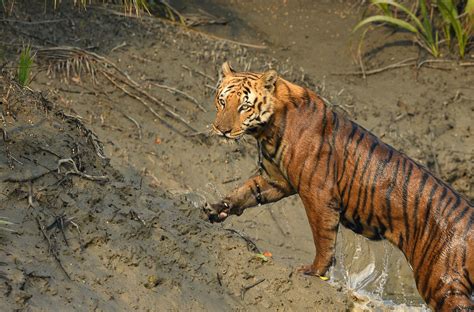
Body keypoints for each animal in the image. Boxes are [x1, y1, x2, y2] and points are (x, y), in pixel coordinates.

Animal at [206, 62, 474, 310]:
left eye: (244, 106)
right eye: (222, 101)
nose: (222, 130)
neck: (268, 130)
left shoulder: (317, 194)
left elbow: (323, 239)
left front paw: (313, 270)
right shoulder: (276, 180)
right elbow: (245, 191)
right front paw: (217, 209)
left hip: (440, 282)